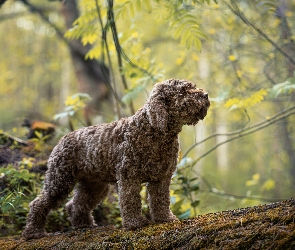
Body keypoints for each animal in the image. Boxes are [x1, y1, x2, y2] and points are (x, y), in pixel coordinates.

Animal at [22, 78, 210, 240]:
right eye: (183, 91)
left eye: (192, 87)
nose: (206, 95)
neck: (154, 132)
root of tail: (64, 138)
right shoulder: (129, 177)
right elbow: (131, 201)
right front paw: (135, 223)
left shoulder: (161, 178)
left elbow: (161, 201)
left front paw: (165, 218)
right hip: (60, 180)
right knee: (39, 203)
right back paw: (33, 232)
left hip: (94, 186)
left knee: (75, 204)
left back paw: (84, 225)